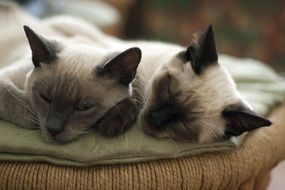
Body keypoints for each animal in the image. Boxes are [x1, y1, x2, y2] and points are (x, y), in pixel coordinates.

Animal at [45, 16, 270, 142]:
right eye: (168, 89)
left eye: (184, 123)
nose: (155, 118)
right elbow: (129, 95)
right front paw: (114, 120)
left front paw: (112, 123)